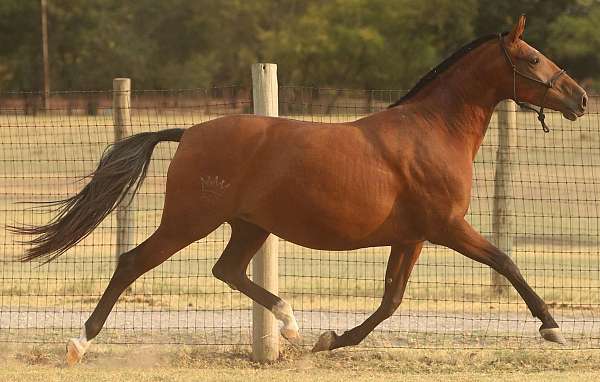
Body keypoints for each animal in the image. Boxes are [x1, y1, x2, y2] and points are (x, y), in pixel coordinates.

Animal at [11, 16, 588, 366]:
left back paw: (289, 325)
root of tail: (189, 132)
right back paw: (79, 343)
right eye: (532, 59)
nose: (580, 98)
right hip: (189, 221)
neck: (431, 131)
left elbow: (391, 300)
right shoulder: (447, 228)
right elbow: (507, 262)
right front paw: (553, 329)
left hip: (249, 227)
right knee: (133, 262)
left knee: (227, 271)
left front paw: (331, 338)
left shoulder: (412, 237)